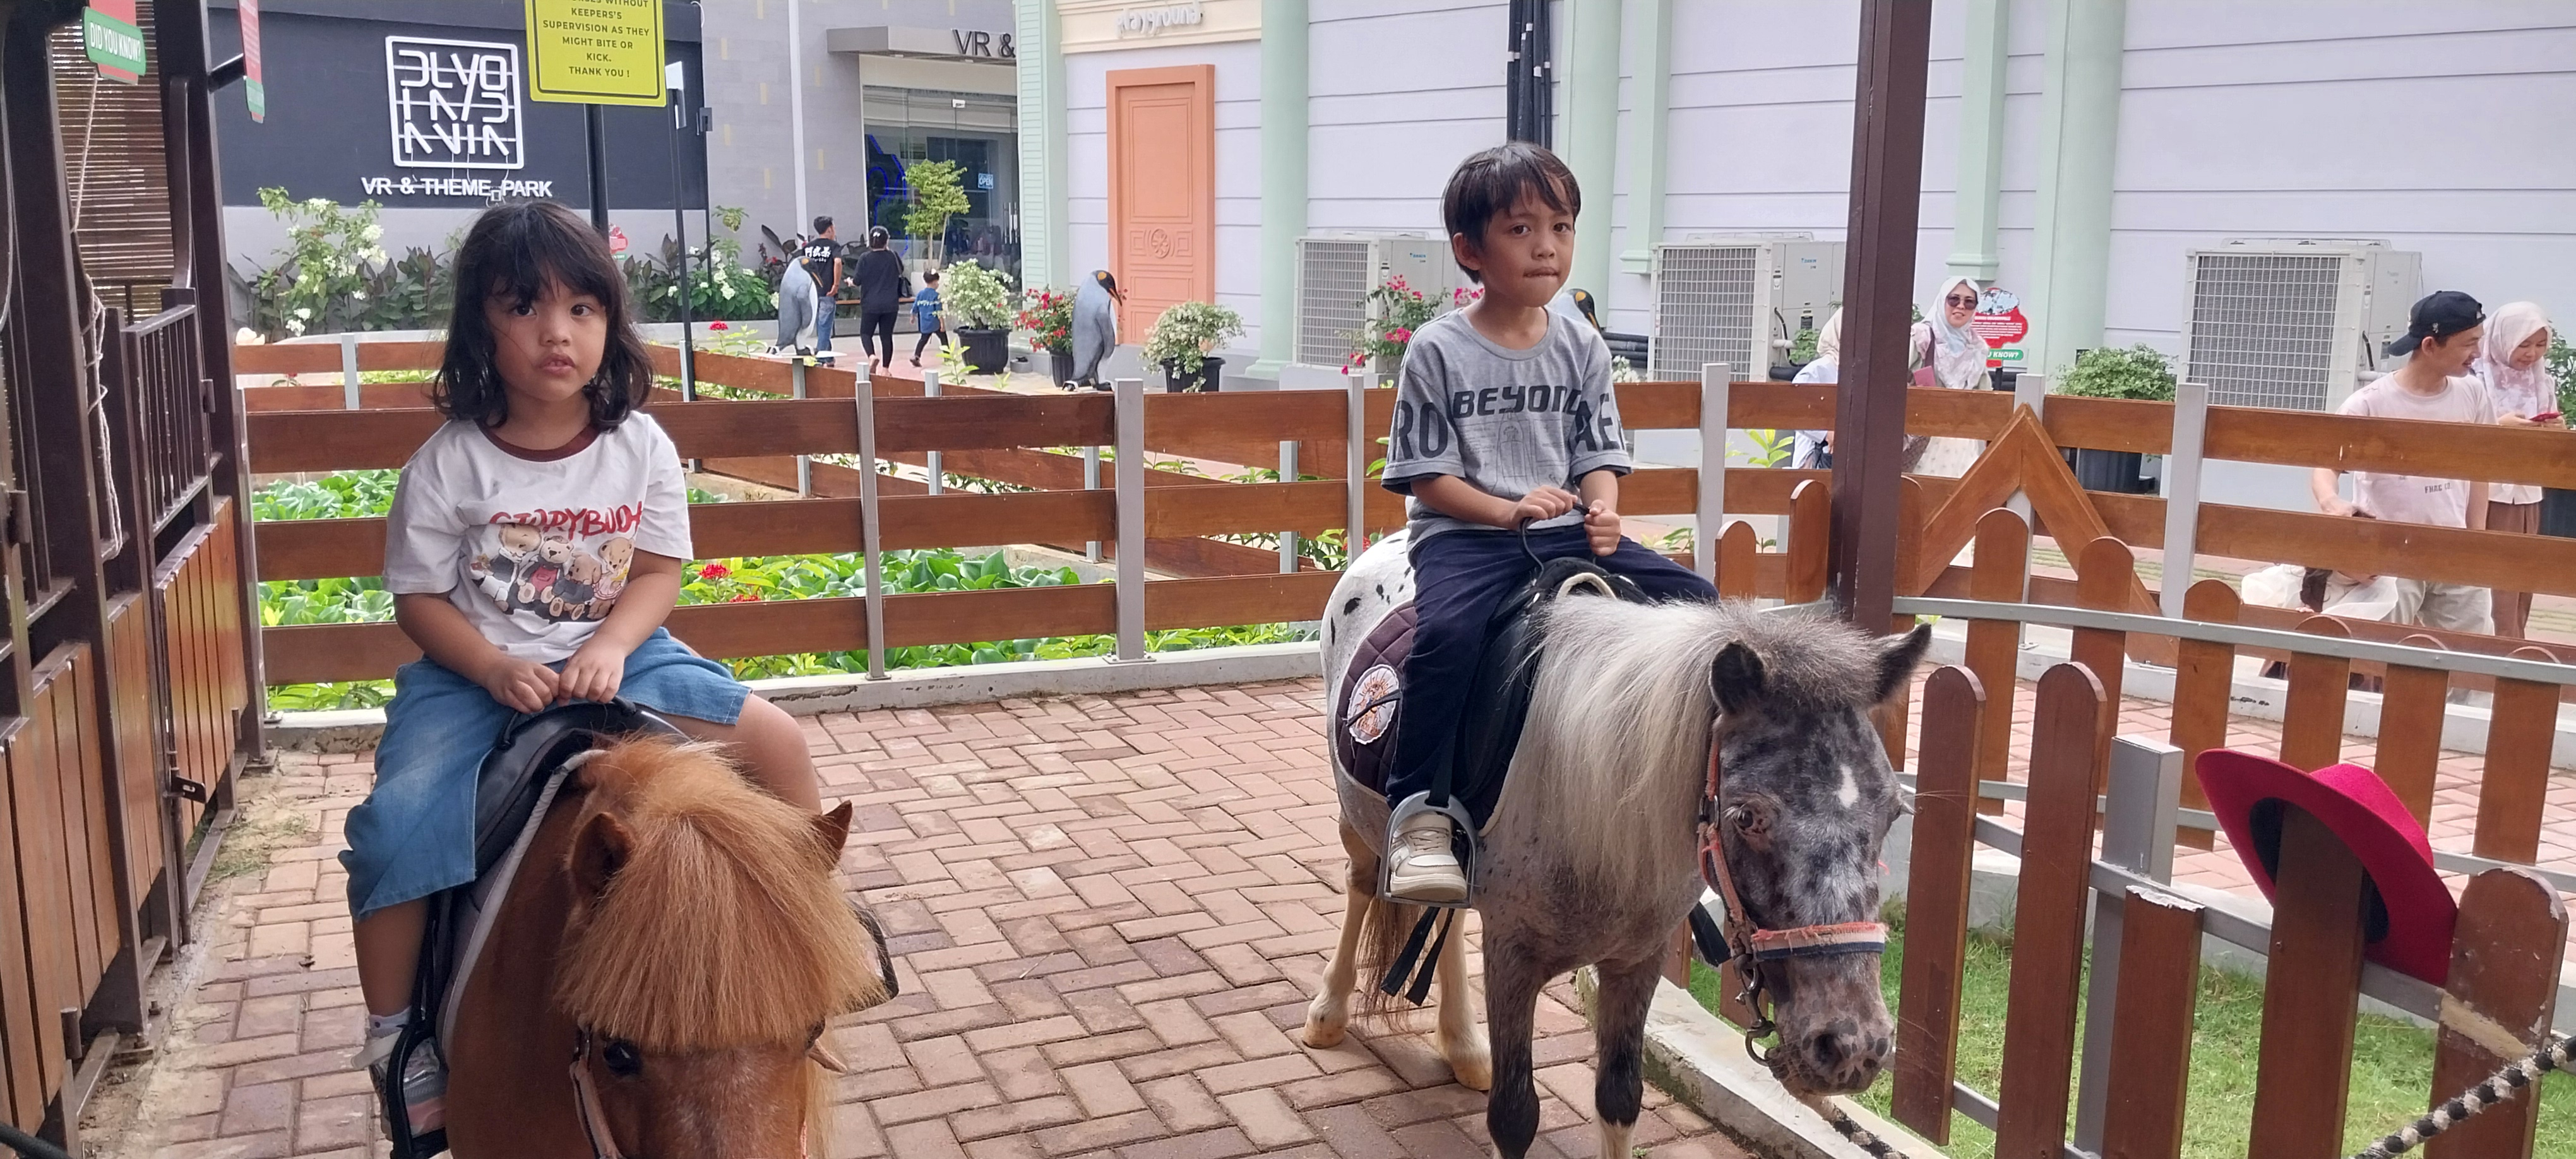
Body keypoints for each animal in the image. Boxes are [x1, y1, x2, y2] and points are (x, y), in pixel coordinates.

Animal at [1308, 533, 1937, 1159]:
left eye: (1893, 812)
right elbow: (1514, 1116)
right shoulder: (1513, 958)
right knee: (1362, 886)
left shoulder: (1639, 962)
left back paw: (1464, 1046)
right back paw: (1329, 1013)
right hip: (1359, 824)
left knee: (1450, 917)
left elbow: (1619, 1098)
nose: (1852, 1046)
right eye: (1747, 817)